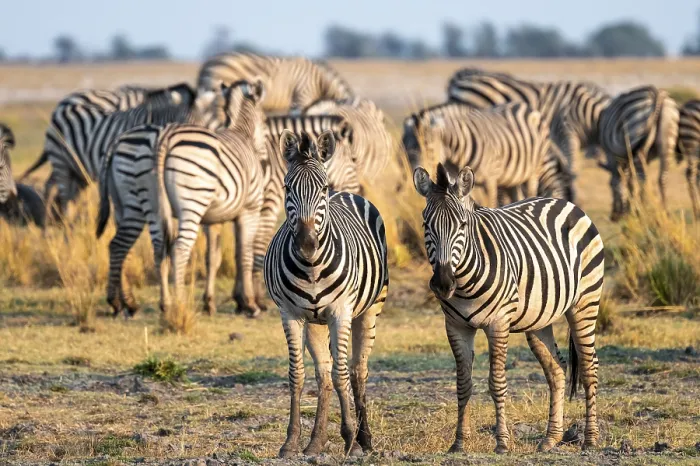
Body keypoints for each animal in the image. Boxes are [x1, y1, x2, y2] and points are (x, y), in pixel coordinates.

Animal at [97, 79, 267, 317]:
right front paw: (249, 304)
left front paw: (210, 303)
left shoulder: (211, 219)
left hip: (137, 204)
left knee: (140, 247)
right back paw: (177, 304)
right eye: (266, 121)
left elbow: (213, 258)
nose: (264, 158)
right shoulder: (249, 210)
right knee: (175, 249)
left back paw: (141, 303)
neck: (240, 133)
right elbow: (244, 254)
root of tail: (164, 139)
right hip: (187, 206)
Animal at [264, 130, 389, 458]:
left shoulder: (340, 313)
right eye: (287, 187)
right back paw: (316, 442)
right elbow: (298, 375)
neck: (311, 267)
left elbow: (341, 374)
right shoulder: (290, 315)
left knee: (357, 370)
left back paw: (364, 438)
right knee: (323, 374)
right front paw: (291, 442)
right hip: (314, 324)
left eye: (322, 187)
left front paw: (350, 440)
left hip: (370, 309)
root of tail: (346, 193)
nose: (307, 243)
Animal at [404, 102, 550, 207]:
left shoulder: (490, 181)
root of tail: (525, 106)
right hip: (511, 177)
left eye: (429, 150)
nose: (418, 182)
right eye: (405, 151)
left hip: (534, 170)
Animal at [413, 162, 604, 454]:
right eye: (426, 225)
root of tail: (564, 202)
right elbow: (463, 384)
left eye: (462, 225)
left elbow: (497, 383)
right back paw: (550, 438)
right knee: (557, 369)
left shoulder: (498, 323)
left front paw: (501, 442)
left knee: (589, 366)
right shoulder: (456, 326)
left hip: (585, 302)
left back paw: (591, 439)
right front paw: (459, 442)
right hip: (539, 319)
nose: (443, 283)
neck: (465, 281)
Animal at [597, 86, 679, 221]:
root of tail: (657, 94)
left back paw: (643, 212)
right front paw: (630, 209)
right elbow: (631, 180)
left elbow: (624, 180)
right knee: (662, 177)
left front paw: (629, 211)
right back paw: (665, 213)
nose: (613, 217)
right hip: (667, 143)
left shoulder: (613, 155)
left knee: (642, 179)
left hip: (636, 133)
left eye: (609, 186)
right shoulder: (644, 158)